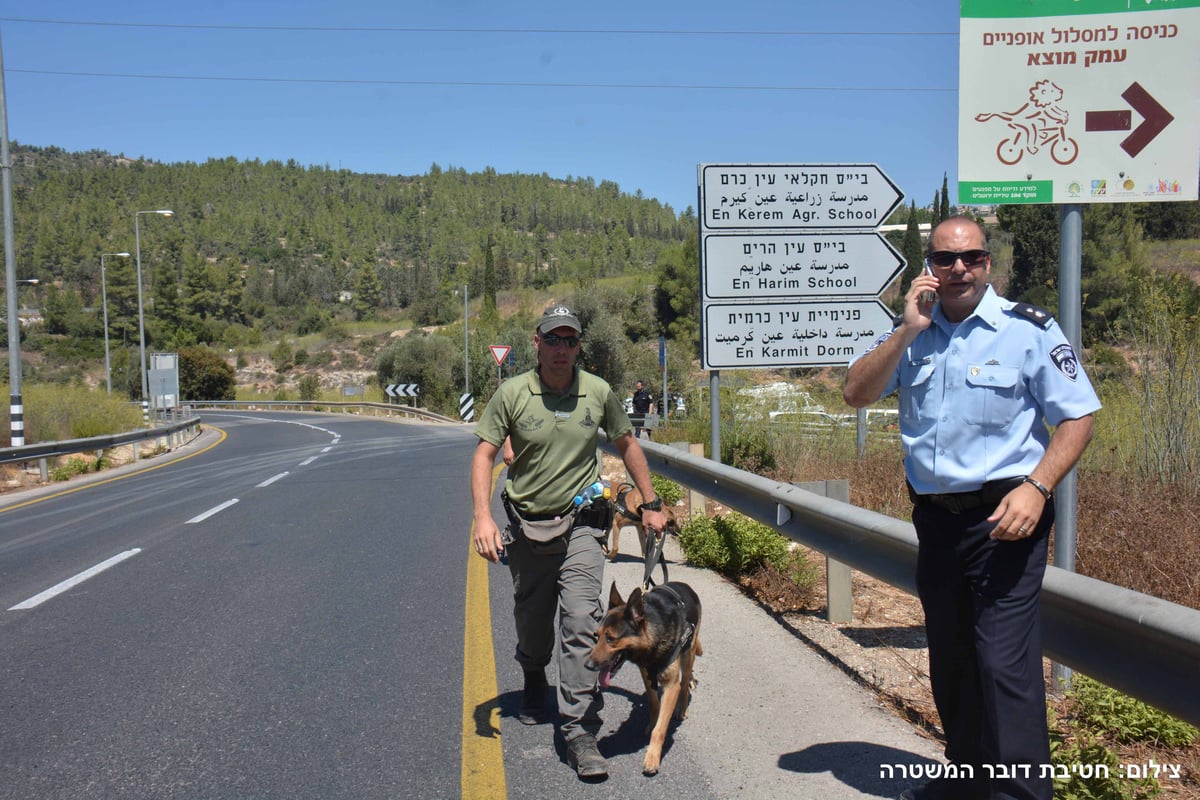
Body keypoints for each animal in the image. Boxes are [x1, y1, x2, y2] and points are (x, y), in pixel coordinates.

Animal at [583, 582, 700, 777]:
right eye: (596, 636)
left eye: (610, 639)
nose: (588, 665)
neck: (653, 637)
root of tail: (684, 585)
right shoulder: (646, 675)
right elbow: (653, 704)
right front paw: (652, 723)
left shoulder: (671, 687)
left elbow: (660, 729)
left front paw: (652, 758)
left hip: (688, 655)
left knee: (684, 683)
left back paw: (682, 706)